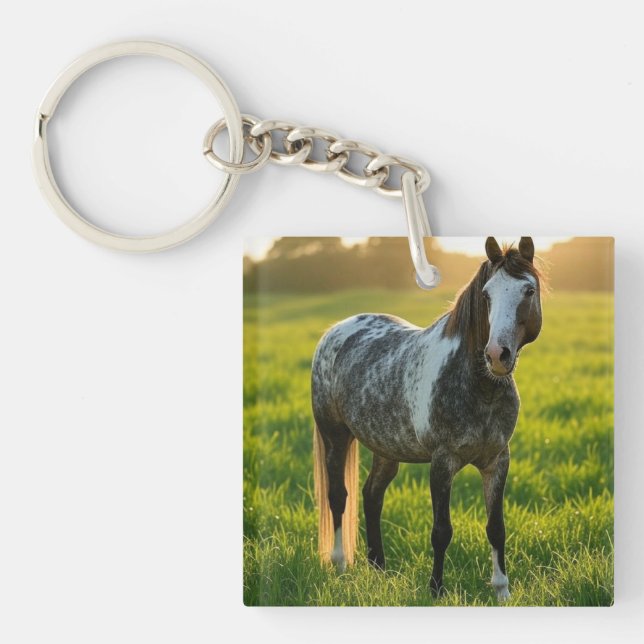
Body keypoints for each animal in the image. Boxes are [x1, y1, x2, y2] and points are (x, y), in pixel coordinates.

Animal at [311, 236, 543, 601]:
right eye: (487, 295)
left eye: (528, 291)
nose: (497, 355)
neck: (480, 386)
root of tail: (334, 332)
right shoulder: (442, 461)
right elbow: (441, 530)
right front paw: (435, 590)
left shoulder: (497, 460)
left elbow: (496, 527)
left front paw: (502, 590)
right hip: (335, 437)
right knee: (338, 496)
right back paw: (340, 564)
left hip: (385, 449)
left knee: (372, 495)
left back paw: (379, 568)